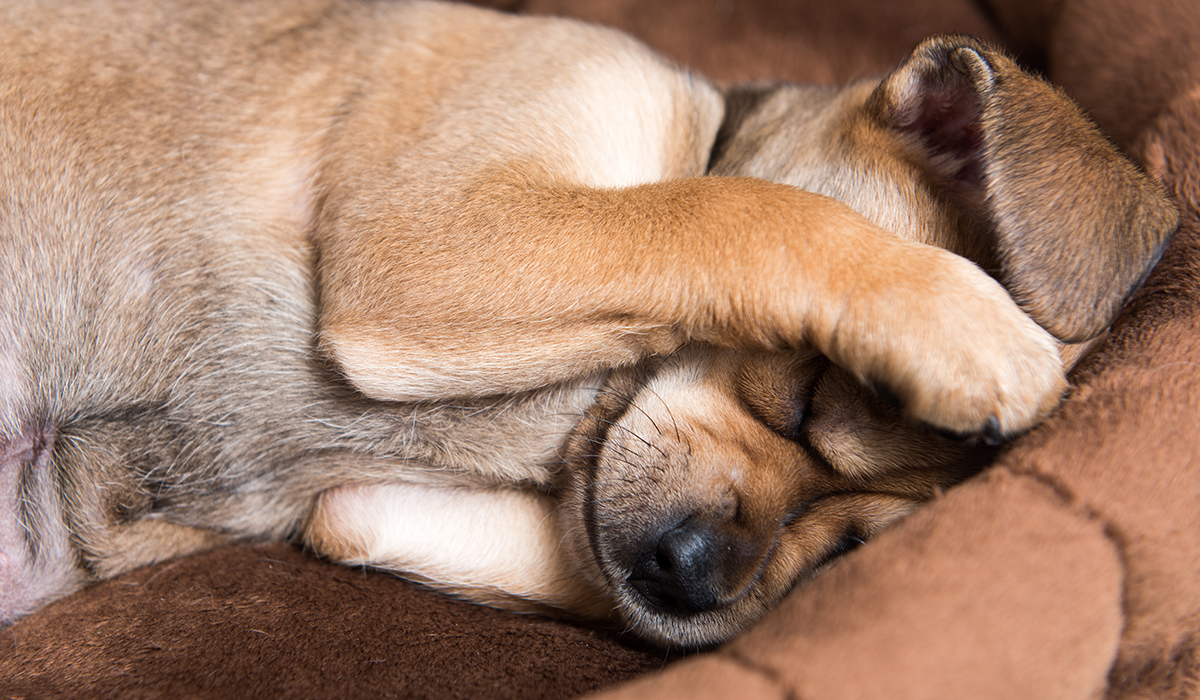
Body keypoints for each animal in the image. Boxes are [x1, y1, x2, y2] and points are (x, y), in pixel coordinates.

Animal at [0, 0, 1180, 648]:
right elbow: (730, 210)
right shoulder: (427, 238)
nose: (694, 576)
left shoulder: (362, 510)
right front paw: (962, 323)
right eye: (810, 391)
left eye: (851, 549)